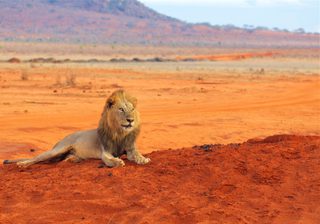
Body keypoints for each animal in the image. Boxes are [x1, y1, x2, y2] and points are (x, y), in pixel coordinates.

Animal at [2, 89, 150, 168]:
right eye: (121, 109)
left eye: (132, 109)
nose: (131, 120)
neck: (119, 133)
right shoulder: (105, 151)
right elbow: (109, 159)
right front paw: (117, 161)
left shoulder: (130, 148)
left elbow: (136, 154)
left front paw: (143, 159)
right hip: (57, 150)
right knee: (37, 158)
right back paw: (23, 164)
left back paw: (71, 160)